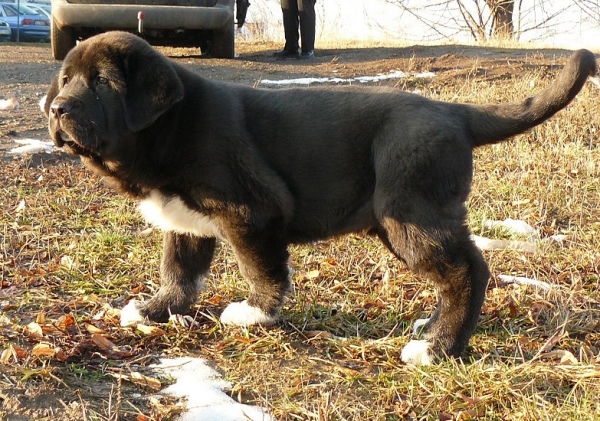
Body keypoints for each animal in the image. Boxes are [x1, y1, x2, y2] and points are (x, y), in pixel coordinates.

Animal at [45, 31, 596, 362]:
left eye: (102, 83)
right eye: (65, 79)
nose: (56, 108)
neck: (169, 127)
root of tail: (454, 112)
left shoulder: (252, 212)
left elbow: (260, 268)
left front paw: (256, 313)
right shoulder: (186, 223)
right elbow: (179, 272)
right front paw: (155, 310)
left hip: (410, 215)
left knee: (467, 270)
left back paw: (439, 348)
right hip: (401, 221)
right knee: (458, 269)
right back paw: (433, 330)